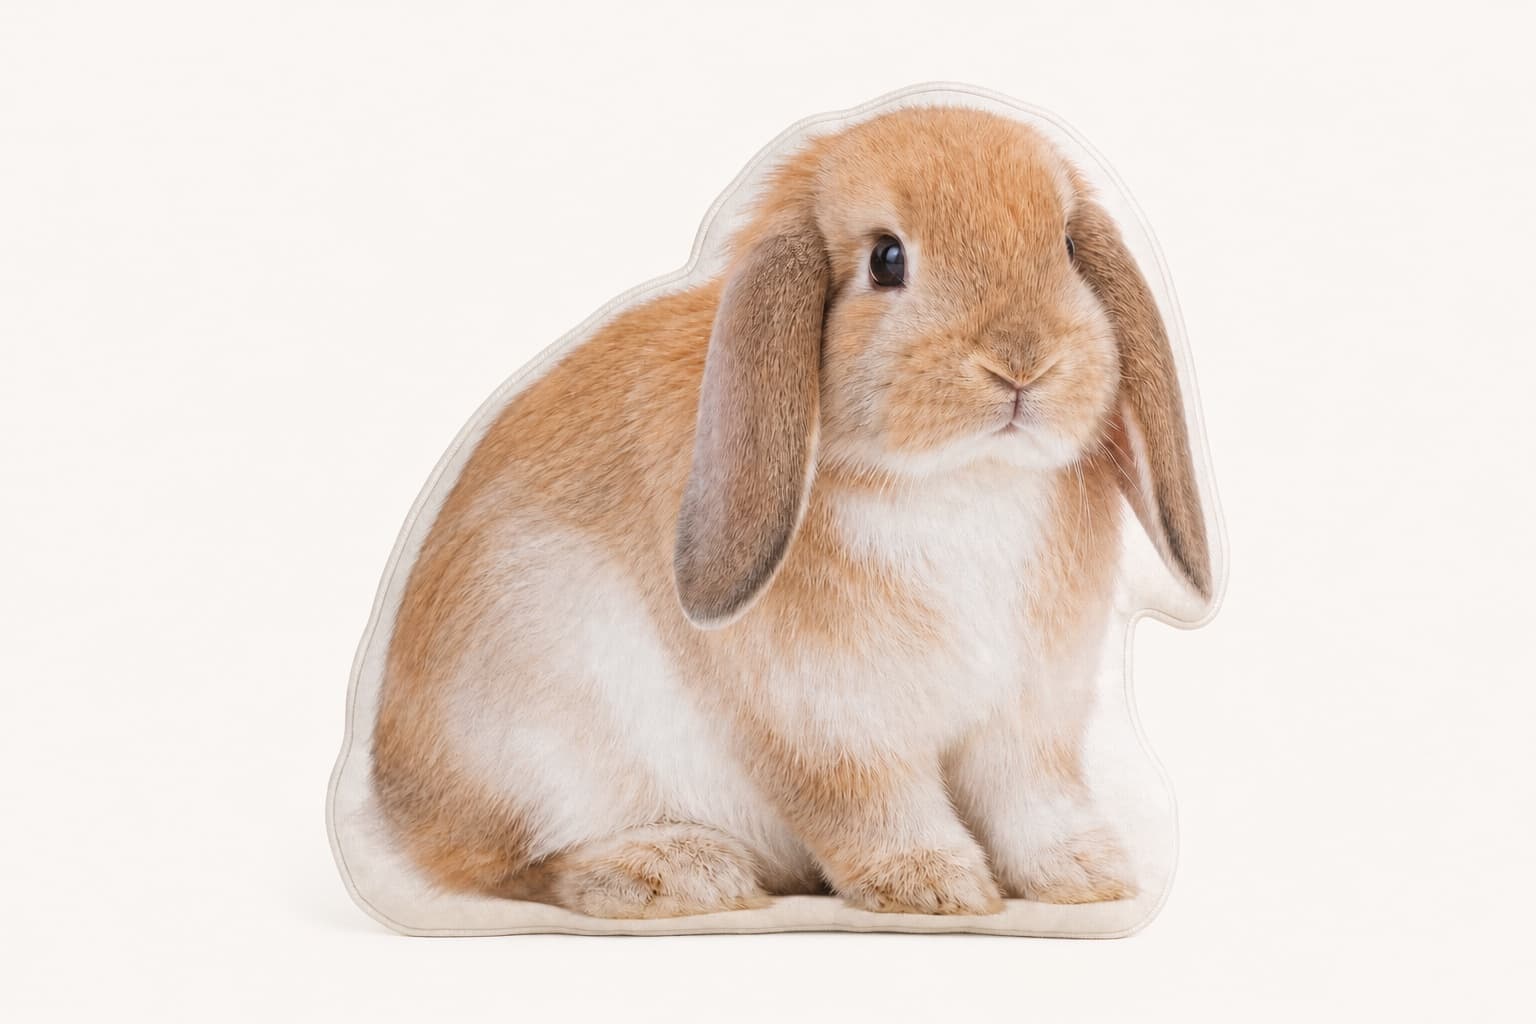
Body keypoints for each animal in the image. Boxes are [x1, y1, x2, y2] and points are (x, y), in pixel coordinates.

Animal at [370, 104, 1212, 919]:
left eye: (1066, 246)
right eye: (887, 260)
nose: (1021, 362)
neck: (963, 480)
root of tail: (389, 797)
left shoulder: (1029, 717)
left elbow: (1033, 799)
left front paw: (1086, 877)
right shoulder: (828, 723)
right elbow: (871, 806)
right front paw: (934, 885)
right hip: (541, 729)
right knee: (514, 864)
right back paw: (670, 872)